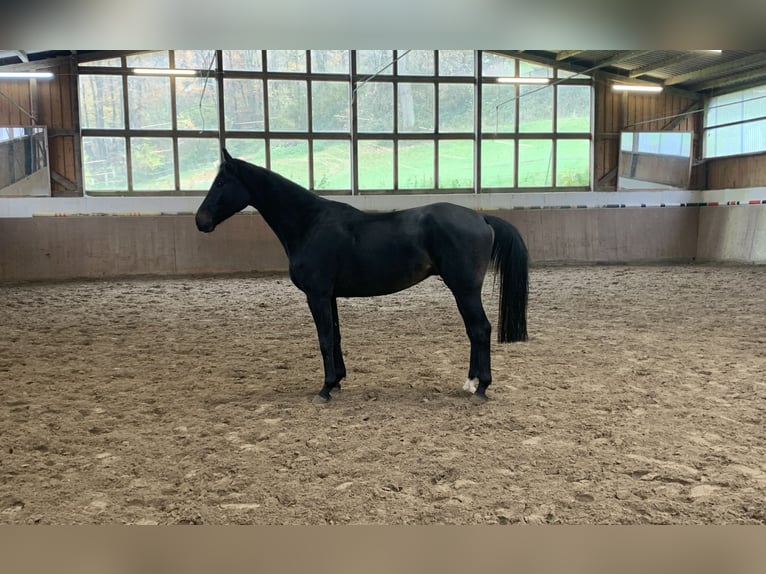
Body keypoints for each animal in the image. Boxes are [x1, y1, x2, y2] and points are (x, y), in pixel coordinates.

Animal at [196, 149, 529, 403]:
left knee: (480, 329)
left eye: (222, 181)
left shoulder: (316, 295)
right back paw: (470, 383)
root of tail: (480, 217)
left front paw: (325, 389)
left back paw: (481, 387)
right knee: (474, 332)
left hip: (464, 290)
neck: (310, 223)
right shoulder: (329, 296)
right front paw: (337, 381)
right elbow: (336, 336)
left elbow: (324, 339)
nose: (201, 221)